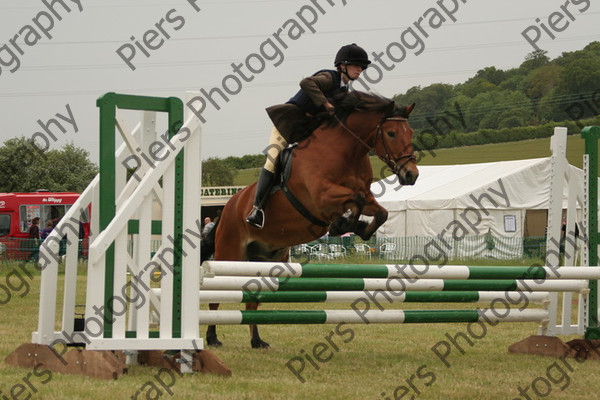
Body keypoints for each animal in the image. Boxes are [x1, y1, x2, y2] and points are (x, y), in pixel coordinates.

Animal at [202, 90, 418, 346]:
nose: (411, 175)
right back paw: (212, 337)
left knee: (252, 301)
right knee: (216, 296)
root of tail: (226, 208)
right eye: (391, 133)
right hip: (230, 253)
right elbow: (354, 200)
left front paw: (356, 227)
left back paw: (257, 341)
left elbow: (378, 211)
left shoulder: (365, 196)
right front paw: (343, 224)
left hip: (265, 259)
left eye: (410, 133)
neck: (347, 152)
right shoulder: (321, 198)